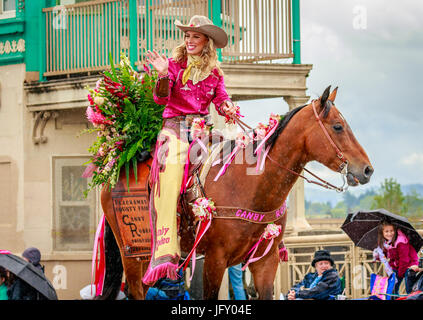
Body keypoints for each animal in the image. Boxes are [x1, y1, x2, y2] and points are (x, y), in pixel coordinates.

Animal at [97, 85, 374, 300]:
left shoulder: (266, 261)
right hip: (135, 255)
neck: (251, 186)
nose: (367, 169)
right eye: (337, 127)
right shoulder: (215, 260)